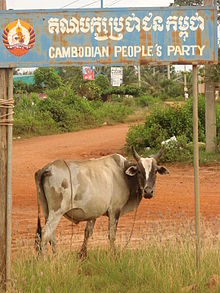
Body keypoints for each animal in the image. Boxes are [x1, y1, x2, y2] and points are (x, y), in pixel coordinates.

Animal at [35, 146, 168, 256]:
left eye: (155, 171)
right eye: (139, 171)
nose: (148, 192)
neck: (123, 173)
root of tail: (47, 168)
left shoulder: (92, 213)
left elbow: (87, 233)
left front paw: (82, 254)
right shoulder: (115, 210)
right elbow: (112, 235)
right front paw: (114, 254)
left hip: (47, 212)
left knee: (50, 237)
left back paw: (56, 257)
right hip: (56, 212)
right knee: (45, 235)